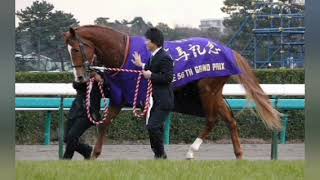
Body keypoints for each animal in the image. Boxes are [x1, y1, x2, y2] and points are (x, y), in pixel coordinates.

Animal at [63, 24, 282, 160]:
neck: (122, 53)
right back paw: (239, 155)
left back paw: (191, 151)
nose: (79, 78)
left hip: (207, 89)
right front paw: (93, 155)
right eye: (68, 51)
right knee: (230, 119)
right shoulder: (120, 96)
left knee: (213, 119)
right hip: (212, 93)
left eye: (76, 49)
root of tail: (228, 51)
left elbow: (152, 125)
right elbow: (104, 124)